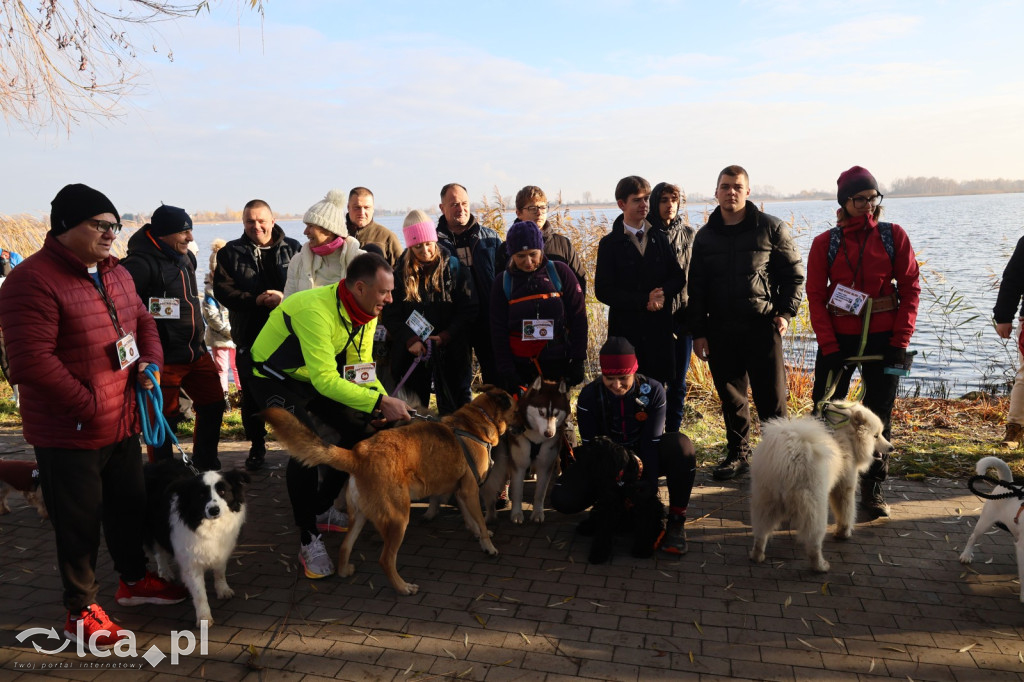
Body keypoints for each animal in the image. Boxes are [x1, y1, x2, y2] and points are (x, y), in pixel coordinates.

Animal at [264, 385, 516, 593]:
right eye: (516, 405)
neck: (475, 422)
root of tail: (357, 455)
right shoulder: (470, 490)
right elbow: (480, 520)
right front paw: (488, 545)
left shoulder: (462, 490)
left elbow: (471, 519)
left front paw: (477, 534)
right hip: (398, 519)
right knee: (385, 560)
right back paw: (403, 587)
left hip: (360, 516)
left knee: (345, 547)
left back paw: (345, 571)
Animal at [749, 401, 892, 569]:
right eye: (876, 436)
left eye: (881, 434)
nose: (891, 447)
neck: (847, 434)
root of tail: (788, 459)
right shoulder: (844, 486)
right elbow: (846, 511)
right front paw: (843, 533)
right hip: (815, 507)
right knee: (813, 542)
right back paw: (820, 566)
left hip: (765, 501)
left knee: (760, 533)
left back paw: (757, 555)